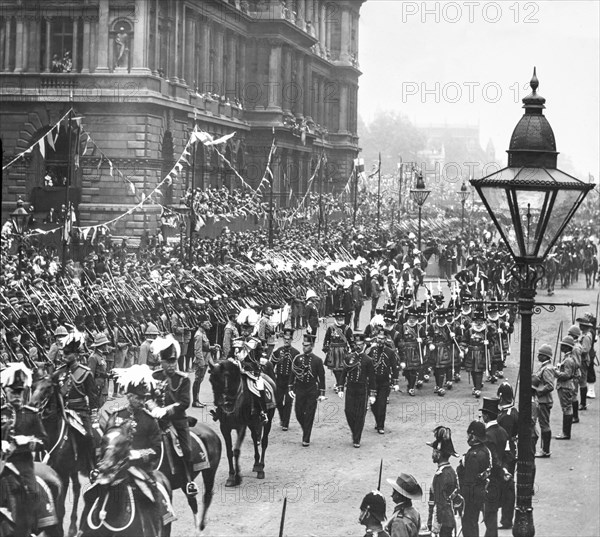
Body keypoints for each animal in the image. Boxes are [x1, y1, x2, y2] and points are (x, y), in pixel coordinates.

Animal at [211, 356, 276, 486]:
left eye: (223, 378)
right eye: (211, 380)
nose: (218, 403)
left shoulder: (241, 427)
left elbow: (236, 450)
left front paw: (237, 477)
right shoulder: (225, 428)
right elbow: (229, 452)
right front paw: (231, 476)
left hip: (268, 421)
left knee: (264, 441)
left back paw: (261, 468)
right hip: (252, 423)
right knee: (255, 438)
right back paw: (256, 464)